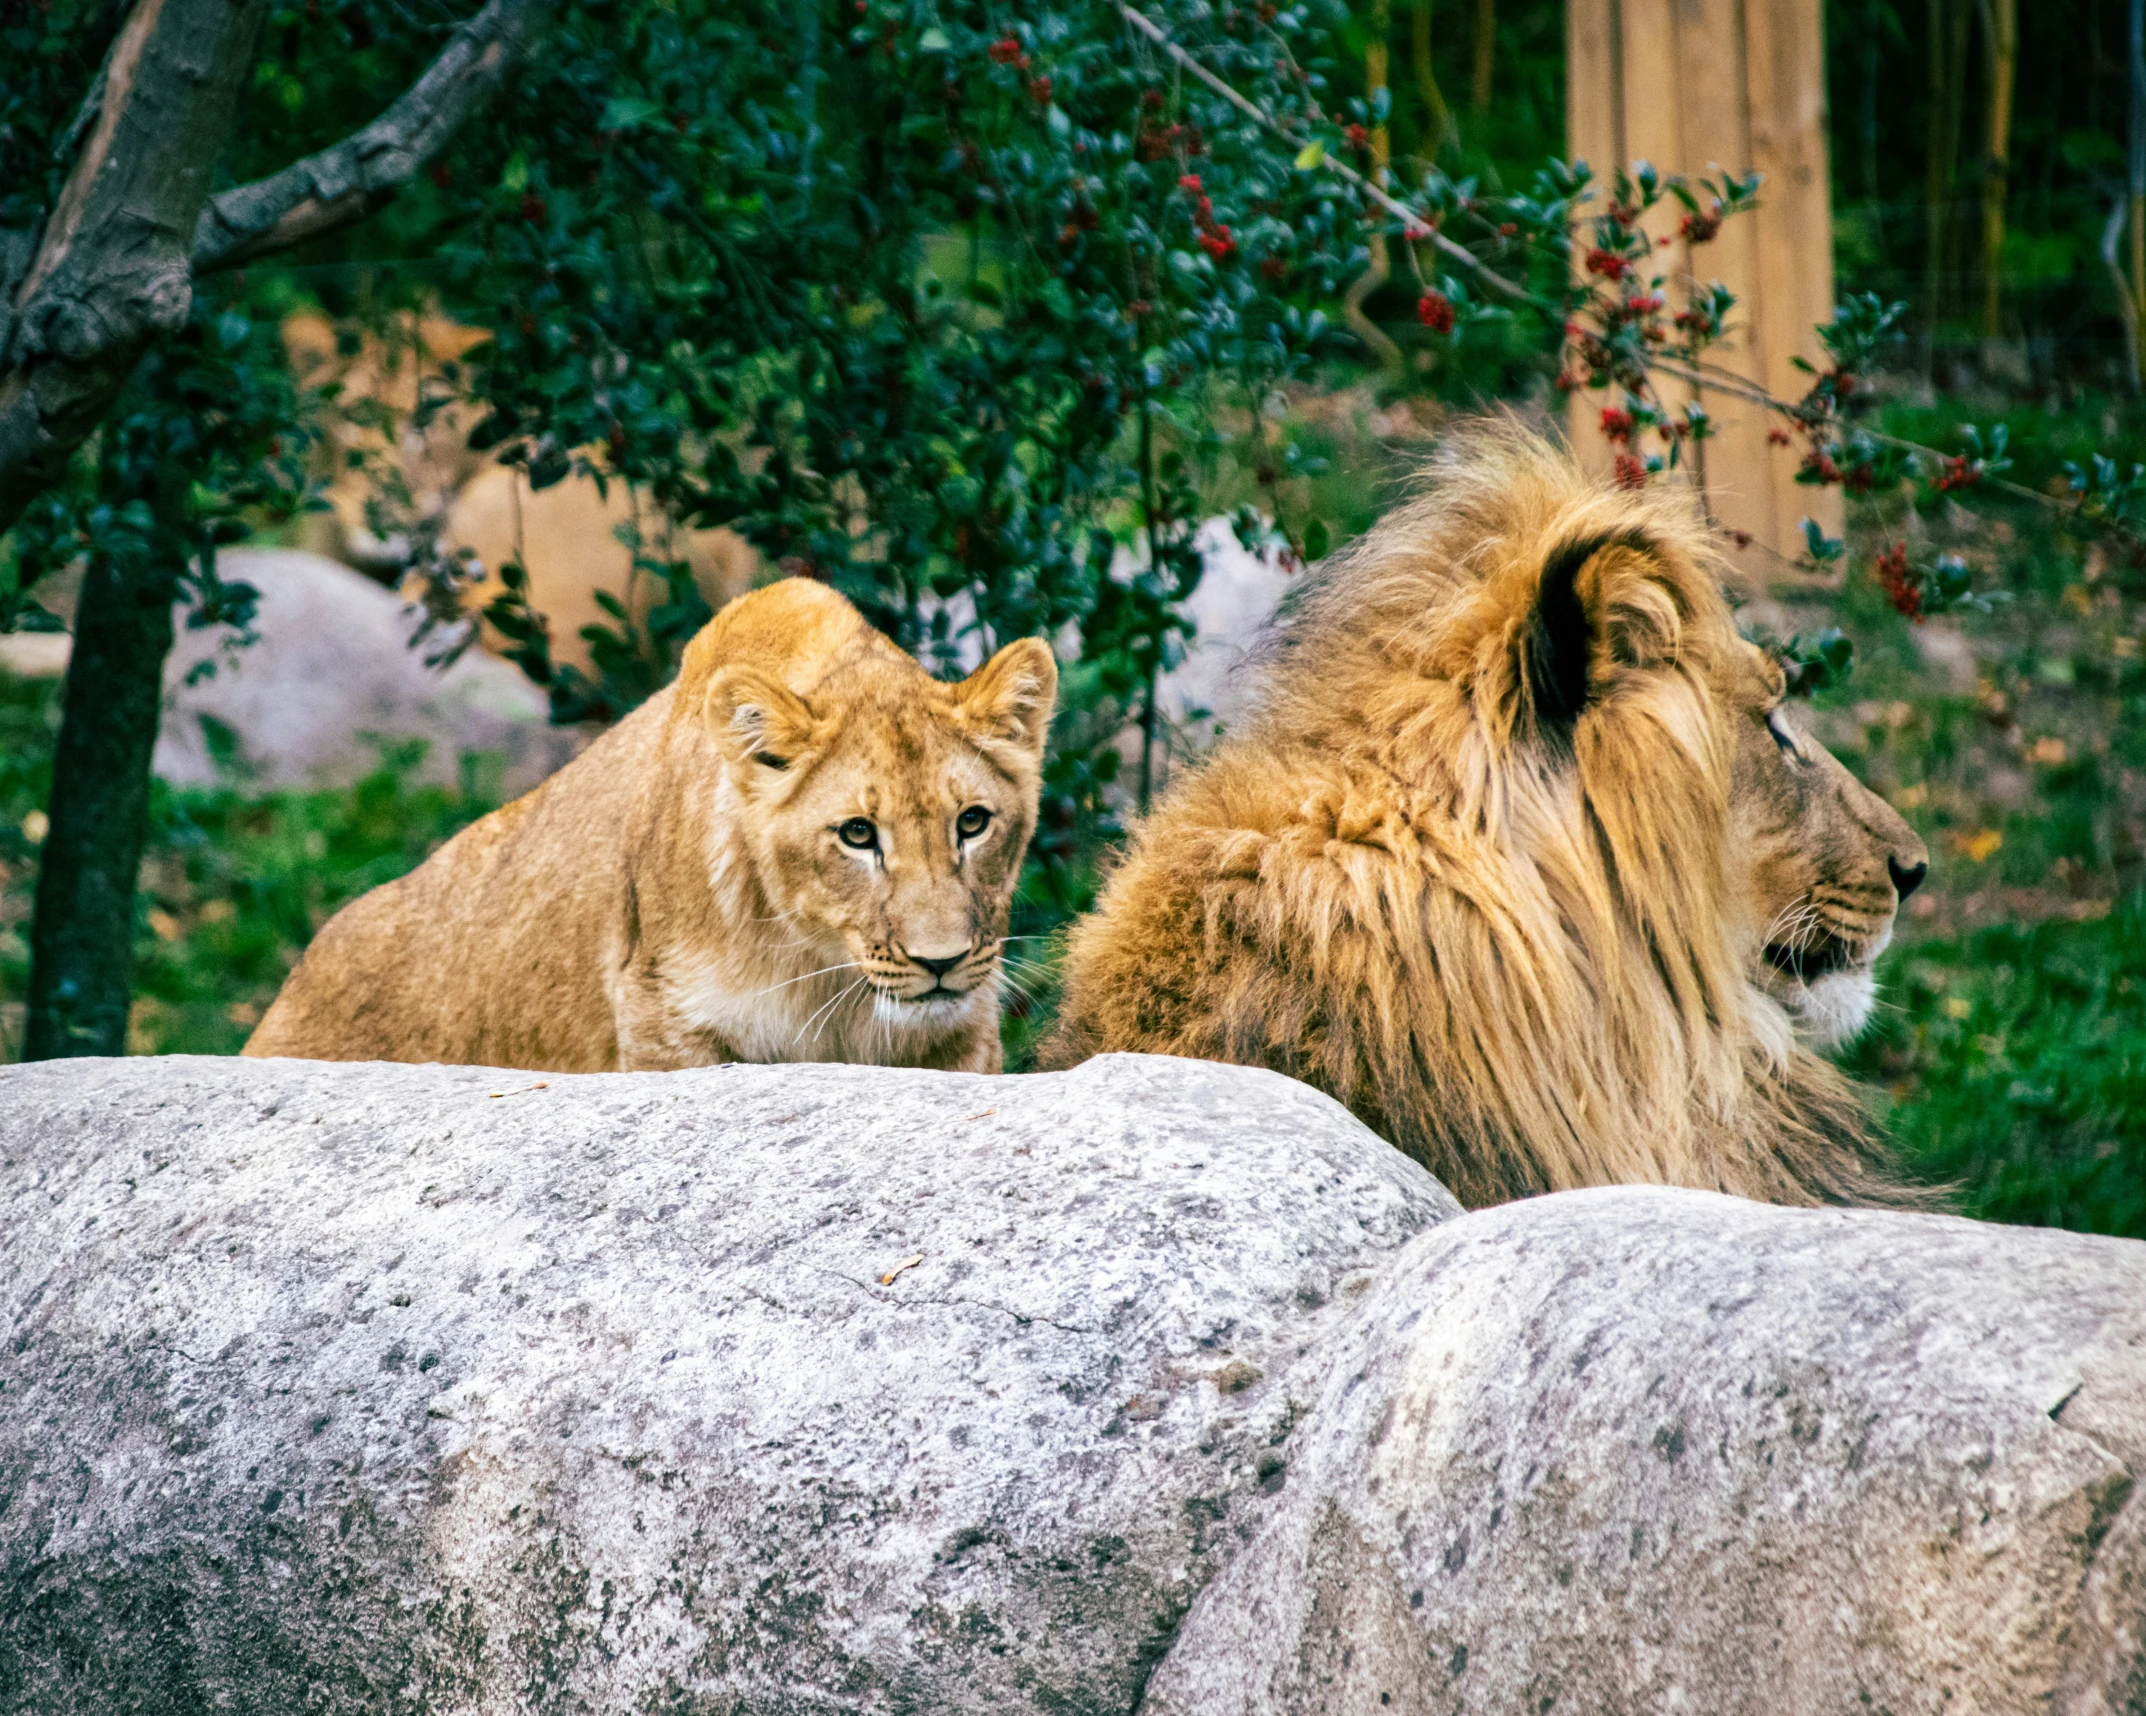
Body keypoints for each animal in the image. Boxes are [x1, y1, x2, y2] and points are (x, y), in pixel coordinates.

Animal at [246, 583, 1051, 1081]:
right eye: (857, 834)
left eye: (972, 823)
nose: (942, 962)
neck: (824, 978)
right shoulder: (666, 1026)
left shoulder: (961, 1036)